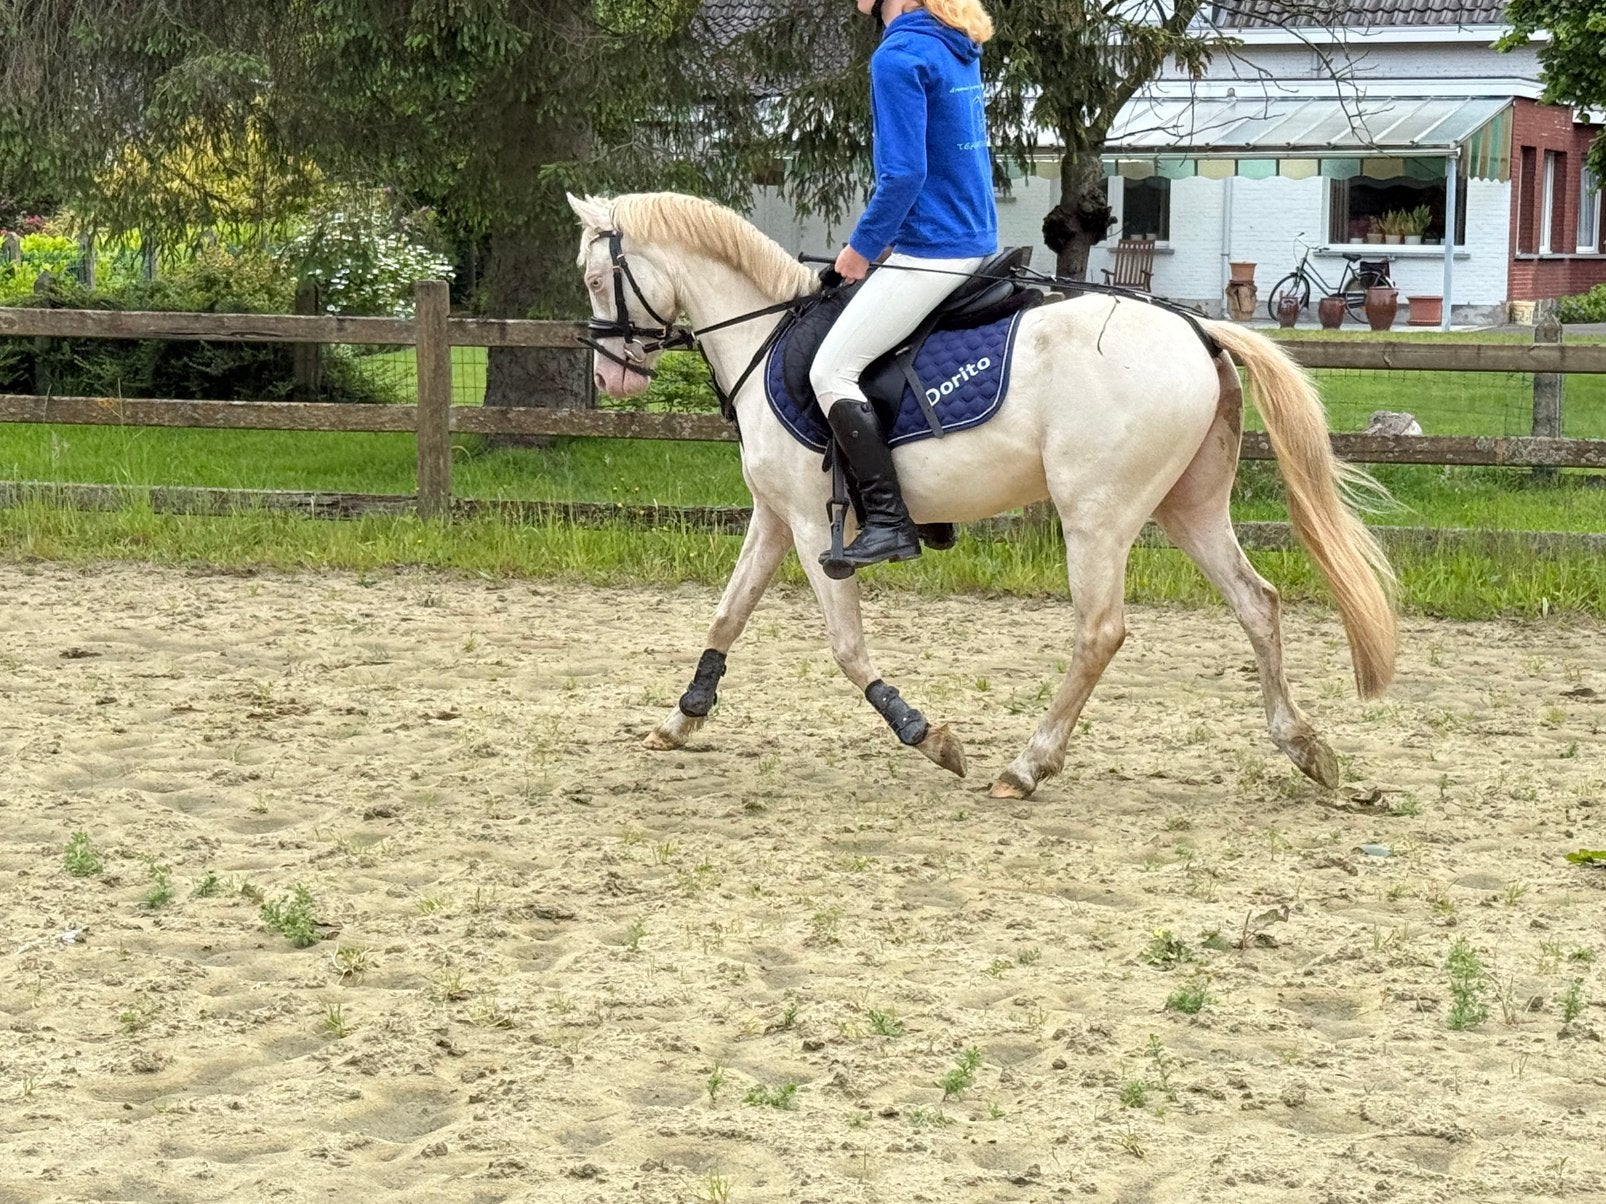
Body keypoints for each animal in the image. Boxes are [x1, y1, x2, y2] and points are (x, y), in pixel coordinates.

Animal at [568, 191, 1396, 800]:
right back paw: (1305, 748)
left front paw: (925, 734)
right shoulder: (776, 519)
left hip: (1096, 516)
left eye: (595, 278)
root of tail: (1197, 330)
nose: (611, 378)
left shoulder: (810, 525)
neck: (763, 338)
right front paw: (682, 720)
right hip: (1187, 509)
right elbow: (727, 614)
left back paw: (1027, 765)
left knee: (1100, 631)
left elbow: (845, 646)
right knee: (1257, 604)